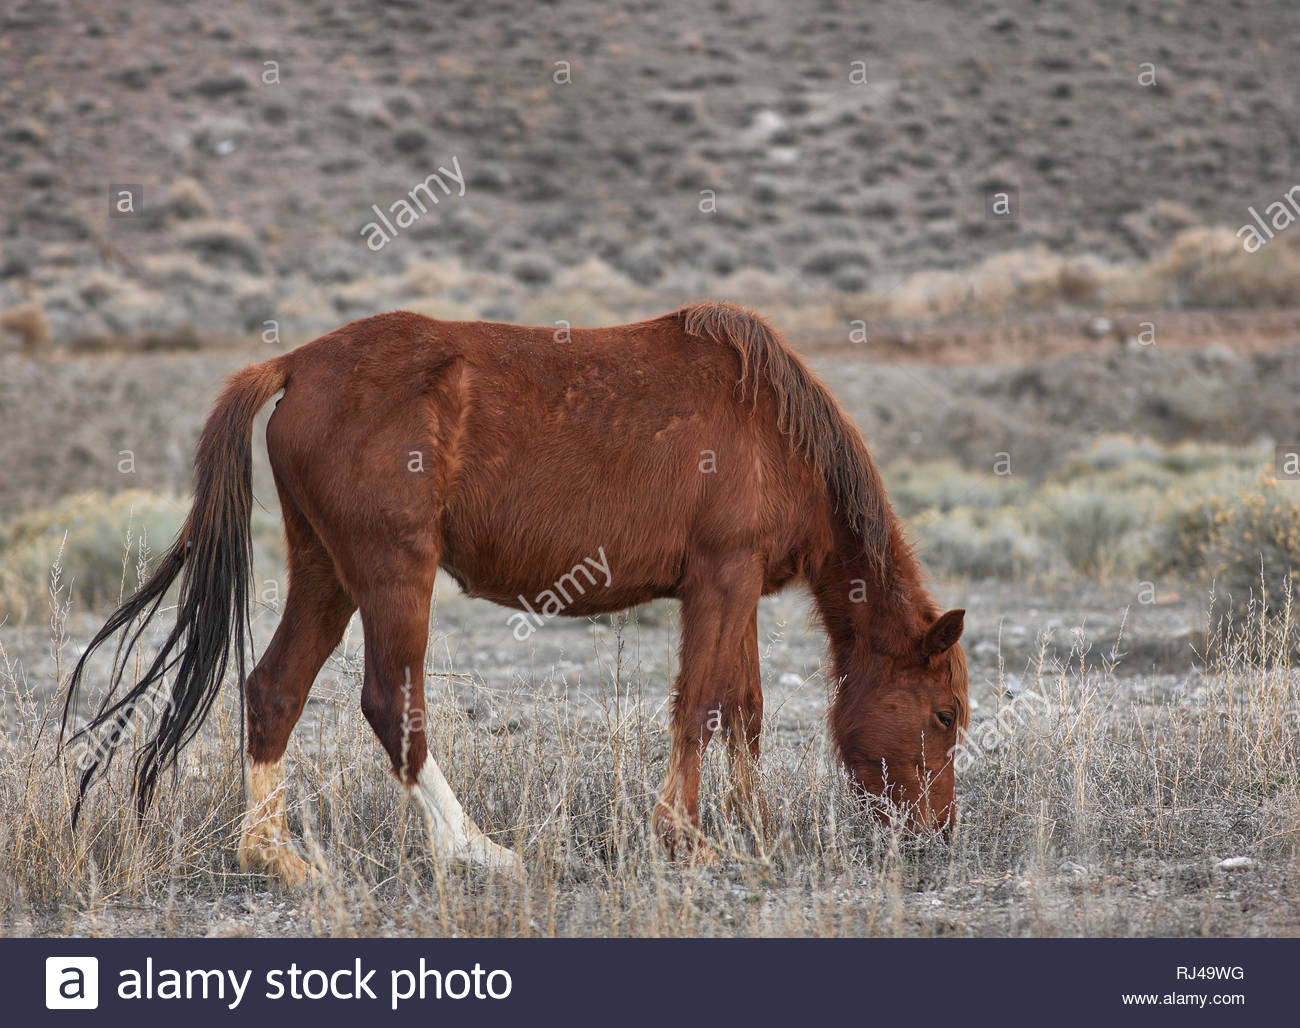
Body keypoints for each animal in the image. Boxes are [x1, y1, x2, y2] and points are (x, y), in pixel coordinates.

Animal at [61, 301, 968, 881]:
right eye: (944, 714)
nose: (934, 832)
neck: (774, 426)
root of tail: (295, 364)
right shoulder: (721, 579)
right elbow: (701, 706)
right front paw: (689, 840)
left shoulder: (732, 590)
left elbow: (741, 709)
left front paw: (753, 833)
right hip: (393, 574)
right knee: (391, 703)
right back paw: (476, 850)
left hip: (325, 570)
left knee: (275, 688)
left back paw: (274, 856)